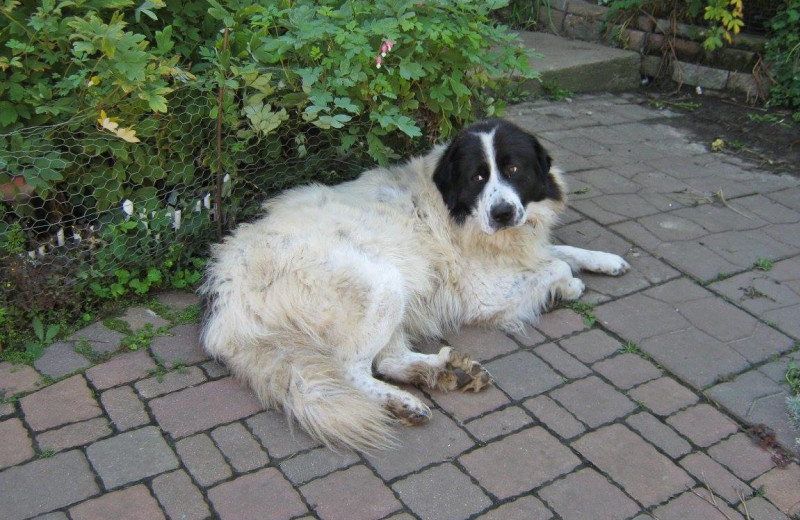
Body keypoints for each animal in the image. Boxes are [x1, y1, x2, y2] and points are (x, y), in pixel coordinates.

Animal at [197, 119, 628, 450]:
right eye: (478, 177)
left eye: (514, 170)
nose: (503, 213)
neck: (456, 209)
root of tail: (228, 287)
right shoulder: (485, 290)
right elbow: (556, 265)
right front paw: (568, 287)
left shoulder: (522, 247)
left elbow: (561, 250)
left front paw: (607, 261)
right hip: (382, 282)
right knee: (352, 368)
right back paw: (402, 402)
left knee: (387, 360)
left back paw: (445, 372)